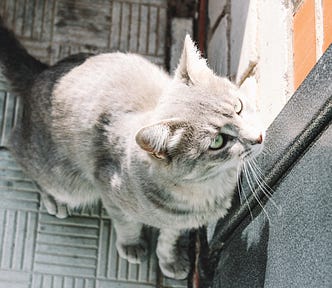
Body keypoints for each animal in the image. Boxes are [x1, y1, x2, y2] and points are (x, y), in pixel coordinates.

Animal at [0, 18, 264, 280]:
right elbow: (127, 224)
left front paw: (169, 260)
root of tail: (40, 74)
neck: (207, 189)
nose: (259, 137)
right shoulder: (109, 191)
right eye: (218, 142)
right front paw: (131, 244)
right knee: (19, 153)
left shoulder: (177, 222)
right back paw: (53, 199)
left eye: (239, 106)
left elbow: (169, 237)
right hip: (67, 182)